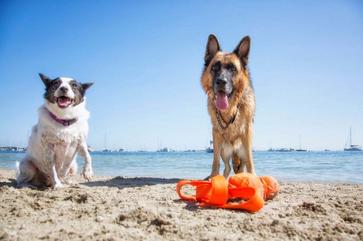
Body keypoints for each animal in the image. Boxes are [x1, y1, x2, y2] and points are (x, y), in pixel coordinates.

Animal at [202, 34, 256, 178]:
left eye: (233, 69)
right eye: (215, 67)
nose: (221, 82)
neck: (230, 108)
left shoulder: (247, 132)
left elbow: (250, 161)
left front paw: (253, 177)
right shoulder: (216, 134)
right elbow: (215, 161)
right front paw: (213, 177)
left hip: (242, 149)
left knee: (241, 166)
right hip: (223, 150)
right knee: (227, 168)